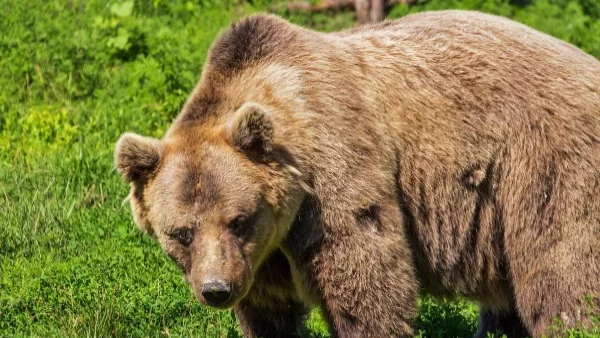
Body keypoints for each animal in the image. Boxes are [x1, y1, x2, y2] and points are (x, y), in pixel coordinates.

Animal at [113, 9, 600, 338]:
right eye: (181, 232)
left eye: (239, 220)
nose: (216, 289)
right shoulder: (263, 255)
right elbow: (269, 308)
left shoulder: (334, 170)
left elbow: (365, 276)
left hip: (545, 165)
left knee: (561, 271)